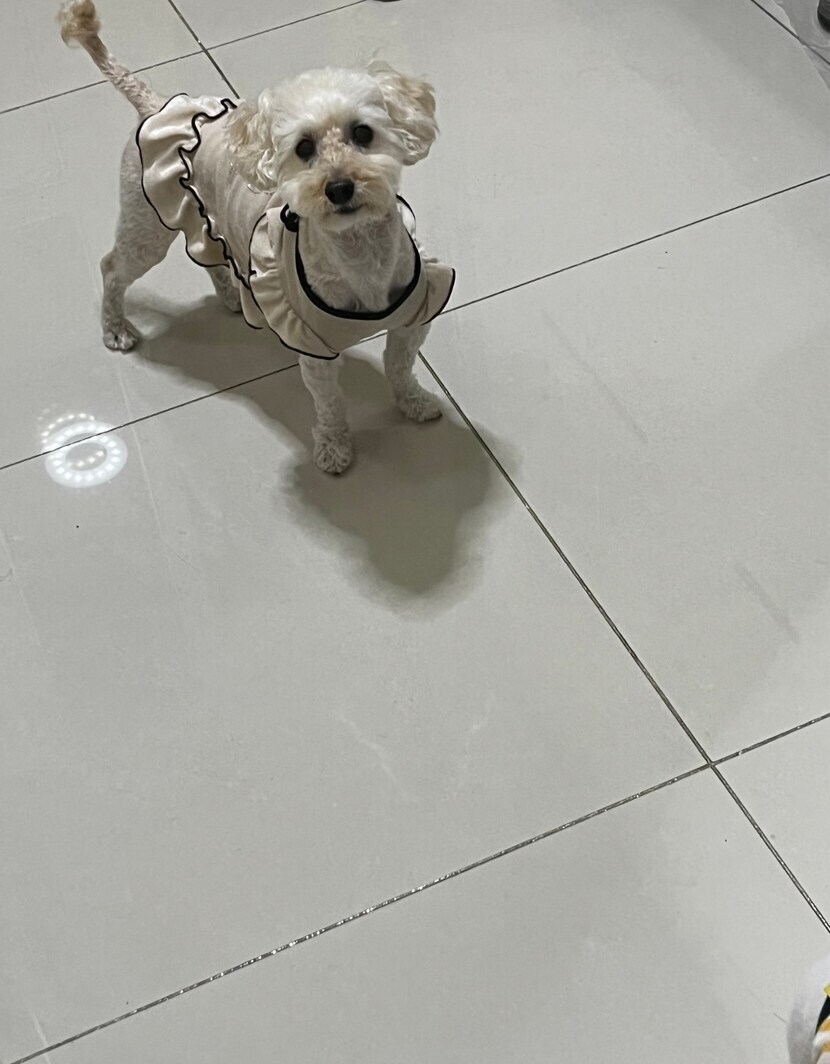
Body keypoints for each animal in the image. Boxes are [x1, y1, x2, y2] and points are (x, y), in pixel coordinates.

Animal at [57, 0, 455, 474]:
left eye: (363, 133)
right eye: (304, 148)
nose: (339, 188)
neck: (359, 254)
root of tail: (155, 106)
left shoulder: (416, 314)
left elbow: (399, 366)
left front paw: (413, 402)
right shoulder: (312, 346)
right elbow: (330, 403)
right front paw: (334, 448)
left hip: (204, 216)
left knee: (208, 253)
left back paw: (232, 294)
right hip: (147, 226)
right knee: (113, 268)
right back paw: (115, 327)